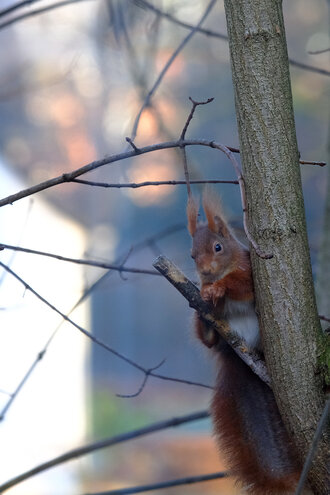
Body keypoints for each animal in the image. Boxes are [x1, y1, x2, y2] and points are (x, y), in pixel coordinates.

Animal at [187, 193, 300, 495]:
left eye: (218, 247)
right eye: (192, 255)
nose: (205, 272)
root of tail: (240, 354)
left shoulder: (250, 270)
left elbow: (243, 284)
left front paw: (219, 287)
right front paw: (205, 291)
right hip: (219, 339)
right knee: (209, 341)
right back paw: (202, 316)